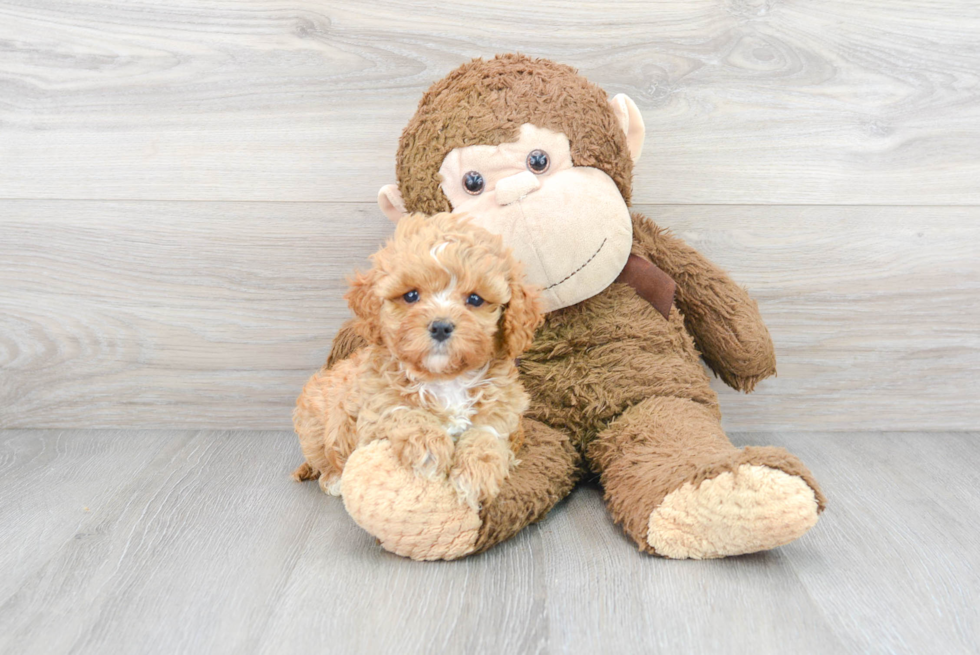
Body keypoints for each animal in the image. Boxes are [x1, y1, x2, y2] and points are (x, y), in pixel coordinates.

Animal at [294, 213, 548, 510]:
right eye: (411, 295)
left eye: (475, 299)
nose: (440, 326)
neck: (446, 378)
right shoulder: (373, 407)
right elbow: (404, 412)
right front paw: (430, 447)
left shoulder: (503, 413)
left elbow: (487, 436)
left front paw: (475, 476)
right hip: (314, 427)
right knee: (323, 461)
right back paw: (334, 479)